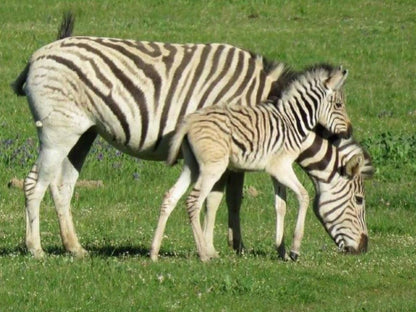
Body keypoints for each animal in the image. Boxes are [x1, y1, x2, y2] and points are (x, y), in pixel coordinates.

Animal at [153, 65, 352, 260]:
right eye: (338, 105)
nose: (349, 132)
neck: (292, 122)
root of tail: (189, 121)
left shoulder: (276, 172)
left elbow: (281, 204)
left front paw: (282, 250)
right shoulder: (281, 167)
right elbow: (303, 196)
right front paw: (295, 249)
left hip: (192, 166)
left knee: (170, 196)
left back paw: (154, 252)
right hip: (212, 168)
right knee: (193, 201)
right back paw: (203, 254)